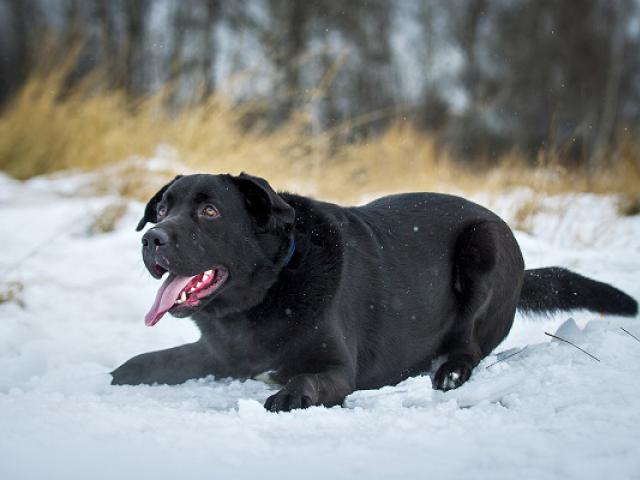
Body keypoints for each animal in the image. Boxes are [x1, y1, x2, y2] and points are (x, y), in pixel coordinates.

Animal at [112, 174, 636, 410]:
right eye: (164, 208)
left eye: (210, 212)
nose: (151, 238)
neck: (268, 290)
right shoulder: (217, 353)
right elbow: (151, 362)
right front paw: (118, 374)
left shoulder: (337, 368)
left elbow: (306, 381)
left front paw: (286, 395)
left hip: (483, 247)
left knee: (468, 346)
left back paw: (448, 372)